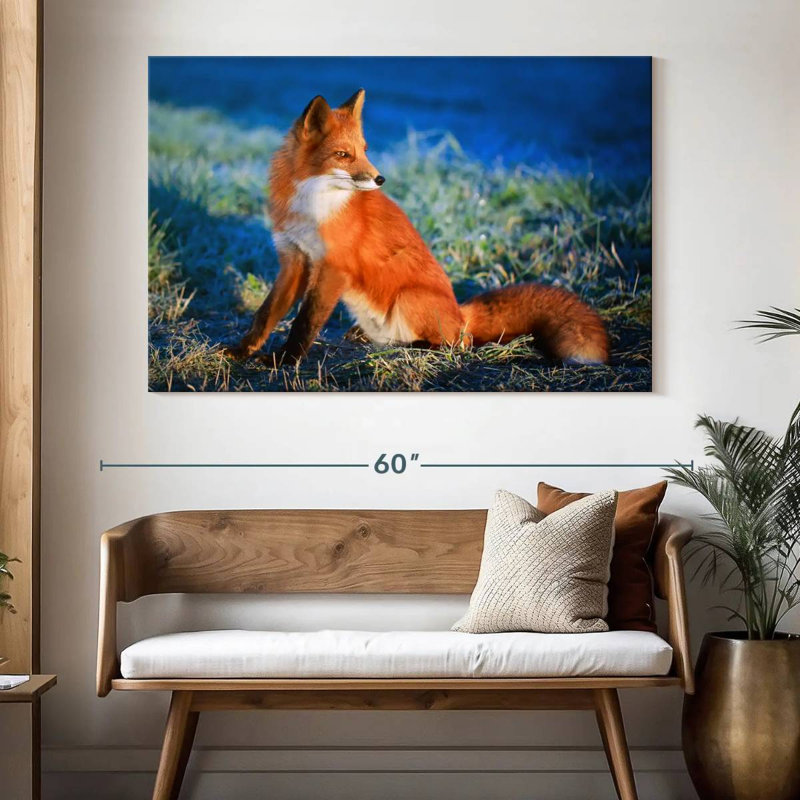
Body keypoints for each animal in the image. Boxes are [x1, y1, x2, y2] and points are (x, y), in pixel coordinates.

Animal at [226, 89, 609, 366]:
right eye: (343, 155)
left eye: (365, 150)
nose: (380, 178)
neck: (312, 205)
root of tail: (460, 312)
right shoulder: (294, 260)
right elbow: (265, 315)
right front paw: (242, 351)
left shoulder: (333, 267)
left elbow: (304, 323)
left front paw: (284, 362)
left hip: (409, 297)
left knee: (459, 344)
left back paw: (419, 347)